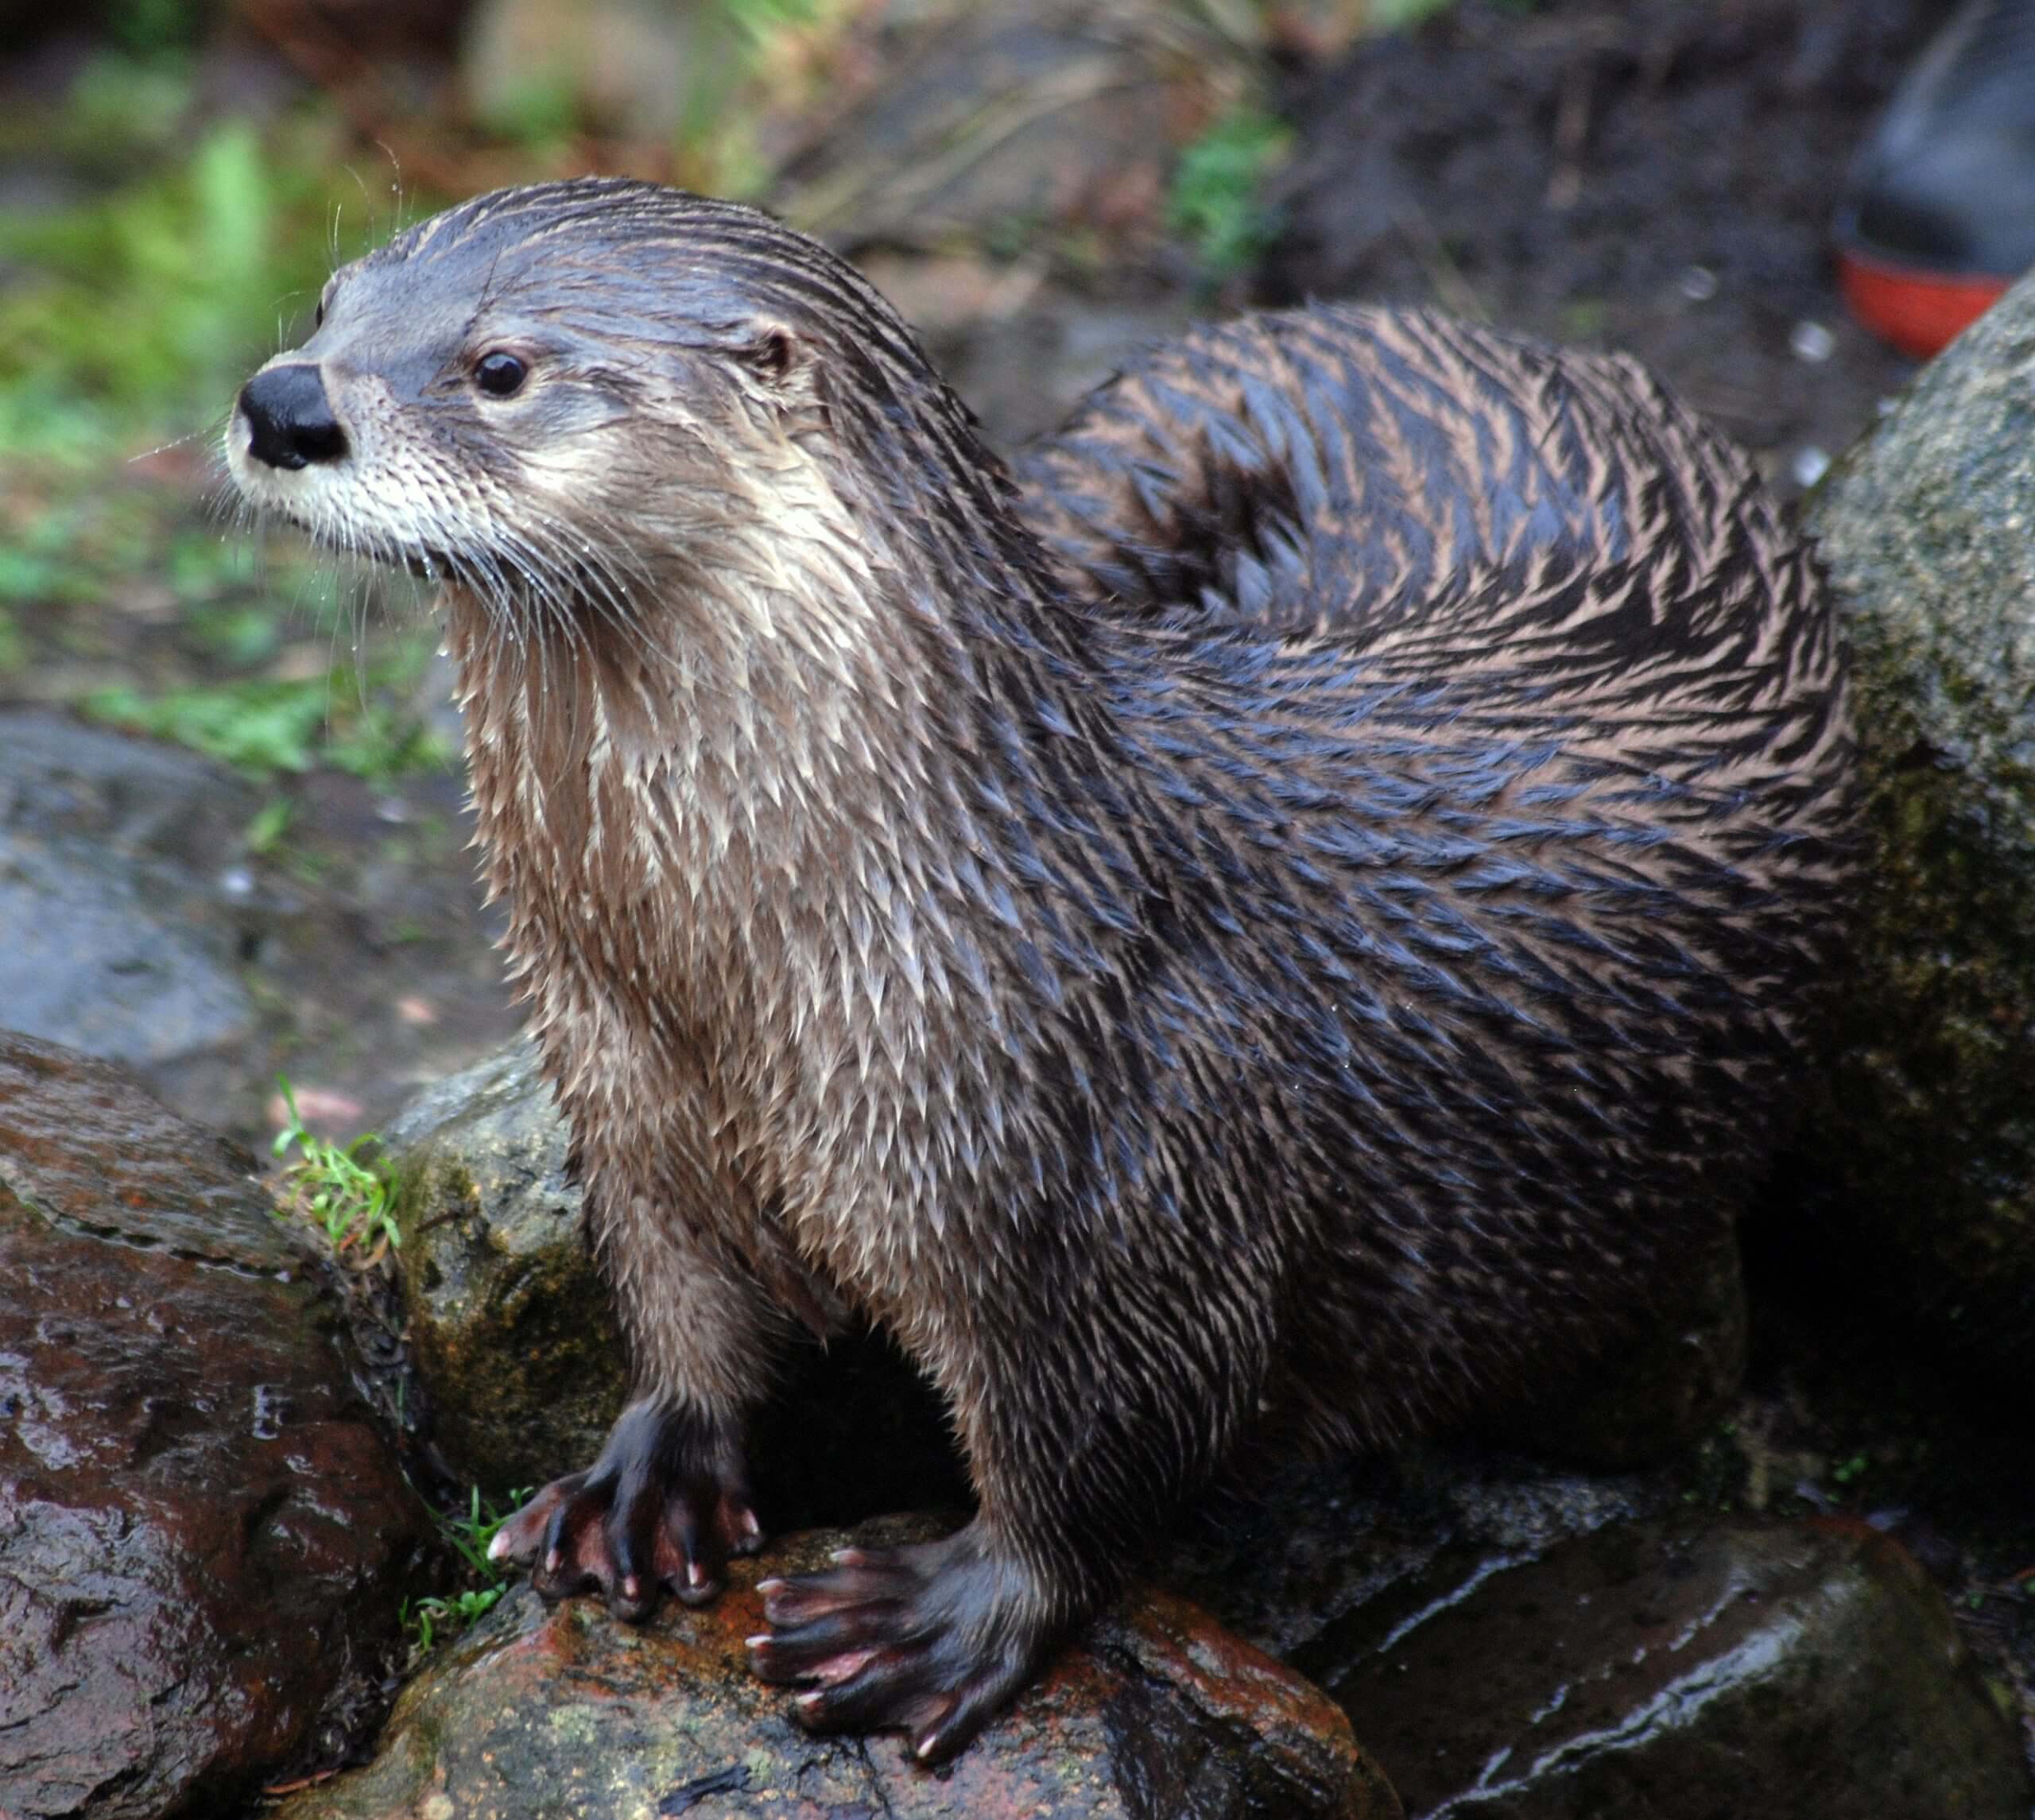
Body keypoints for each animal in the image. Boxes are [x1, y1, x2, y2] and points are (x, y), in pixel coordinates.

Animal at [226, 178, 1855, 1763]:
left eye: (502, 367)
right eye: (329, 301)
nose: (282, 400)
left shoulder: (1109, 1156)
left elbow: (1123, 1426)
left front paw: (946, 1612)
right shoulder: (618, 1081)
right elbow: (678, 1293)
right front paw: (650, 1474)